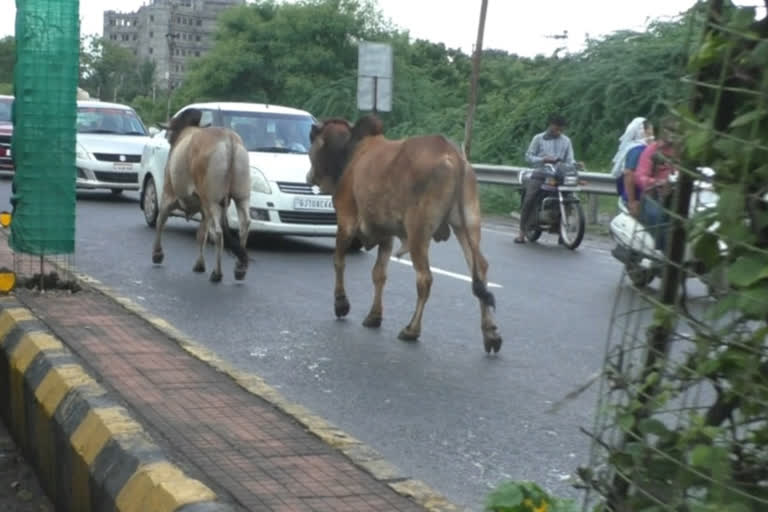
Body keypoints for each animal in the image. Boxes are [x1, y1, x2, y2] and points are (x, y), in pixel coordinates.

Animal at [148, 108, 249, 284]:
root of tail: (228, 140)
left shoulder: (168, 193)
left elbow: (161, 221)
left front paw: (157, 254)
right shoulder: (203, 209)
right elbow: (201, 234)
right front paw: (199, 264)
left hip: (212, 201)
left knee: (218, 233)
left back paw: (217, 273)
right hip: (241, 196)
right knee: (244, 226)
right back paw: (239, 269)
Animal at [306, 114, 504, 354]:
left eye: (311, 143)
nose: (309, 176)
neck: (350, 152)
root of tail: (454, 155)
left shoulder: (346, 220)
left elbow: (338, 261)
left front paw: (341, 304)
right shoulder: (386, 234)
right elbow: (379, 274)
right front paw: (374, 316)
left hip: (418, 231)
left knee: (425, 278)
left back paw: (411, 330)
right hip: (467, 223)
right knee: (480, 270)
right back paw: (491, 334)